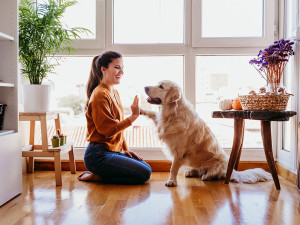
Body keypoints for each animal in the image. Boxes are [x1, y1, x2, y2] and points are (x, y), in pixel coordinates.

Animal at [141, 80, 272, 186]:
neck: (172, 113)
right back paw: (190, 171)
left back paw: (206, 176)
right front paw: (140, 110)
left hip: (217, 164)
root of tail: (231, 171)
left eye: (161, 86)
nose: (145, 87)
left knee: (213, 174)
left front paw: (171, 181)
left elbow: (173, 168)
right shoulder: (161, 122)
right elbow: (151, 114)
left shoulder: (179, 151)